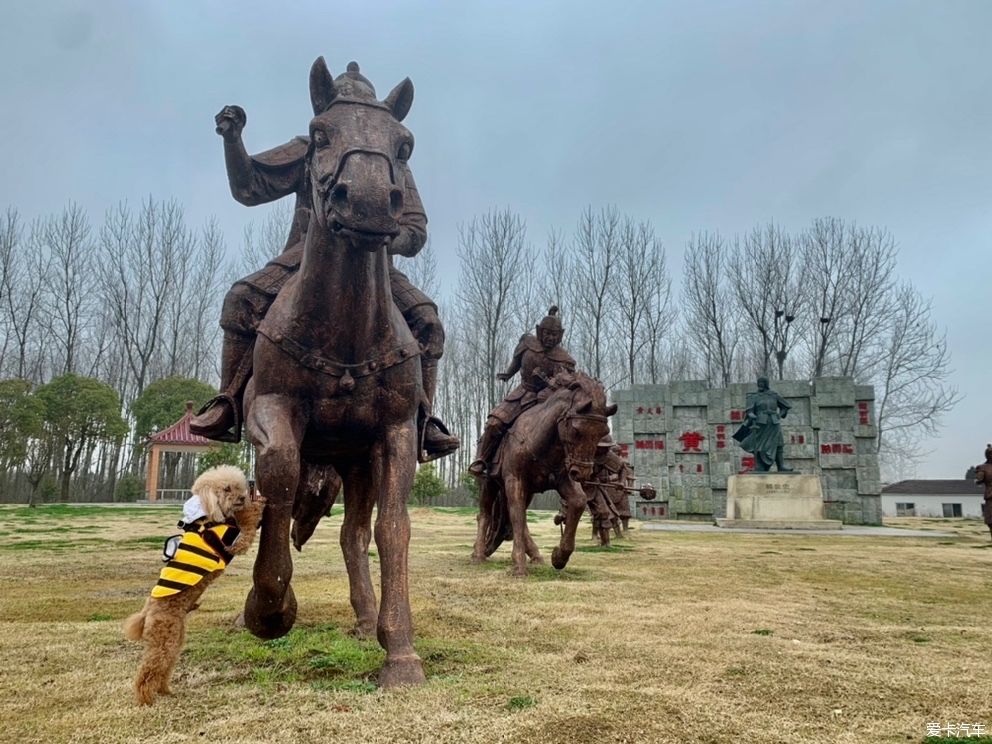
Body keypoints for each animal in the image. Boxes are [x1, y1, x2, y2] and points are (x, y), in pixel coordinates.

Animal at [123, 464, 264, 704]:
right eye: (227, 489)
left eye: (239, 487)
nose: (243, 497)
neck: (206, 516)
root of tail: (147, 611)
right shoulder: (232, 543)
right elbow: (245, 524)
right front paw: (256, 506)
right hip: (163, 640)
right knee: (147, 671)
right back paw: (145, 699)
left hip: (175, 639)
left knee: (165, 666)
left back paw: (165, 690)